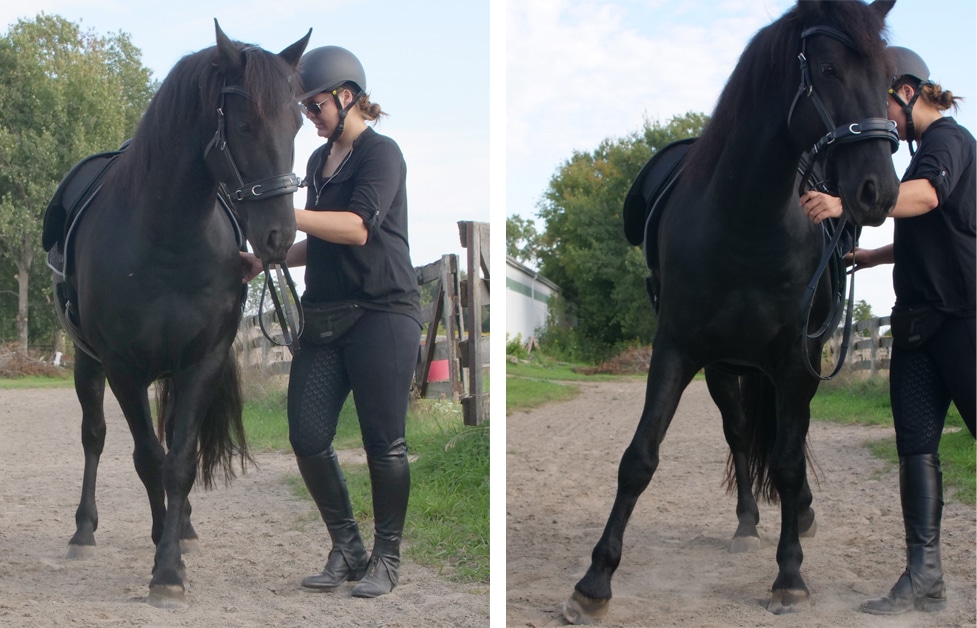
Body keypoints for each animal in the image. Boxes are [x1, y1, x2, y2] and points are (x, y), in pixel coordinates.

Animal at [42, 22, 310, 608]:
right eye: (245, 122)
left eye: (298, 123)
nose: (280, 237)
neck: (168, 239)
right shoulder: (123, 368)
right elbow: (148, 457)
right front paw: (161, 559)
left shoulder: (201, 361)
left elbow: (180, 460)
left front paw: (170, 557)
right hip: (87, 363)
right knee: (95, 436)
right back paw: (84, 531)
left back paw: (180, 525)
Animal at [564, 0, 901, 622]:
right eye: (828, 69)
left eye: (888, 78)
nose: (879, 192)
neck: (748, 225)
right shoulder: (678, 350)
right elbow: (639, 458)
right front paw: (594, 581)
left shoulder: (795, 362)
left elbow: (789, 463)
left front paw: (790, 576)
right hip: (726, 369)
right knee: (741, 434)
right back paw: (746, 523)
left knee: (790, 445)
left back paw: (800, 516)